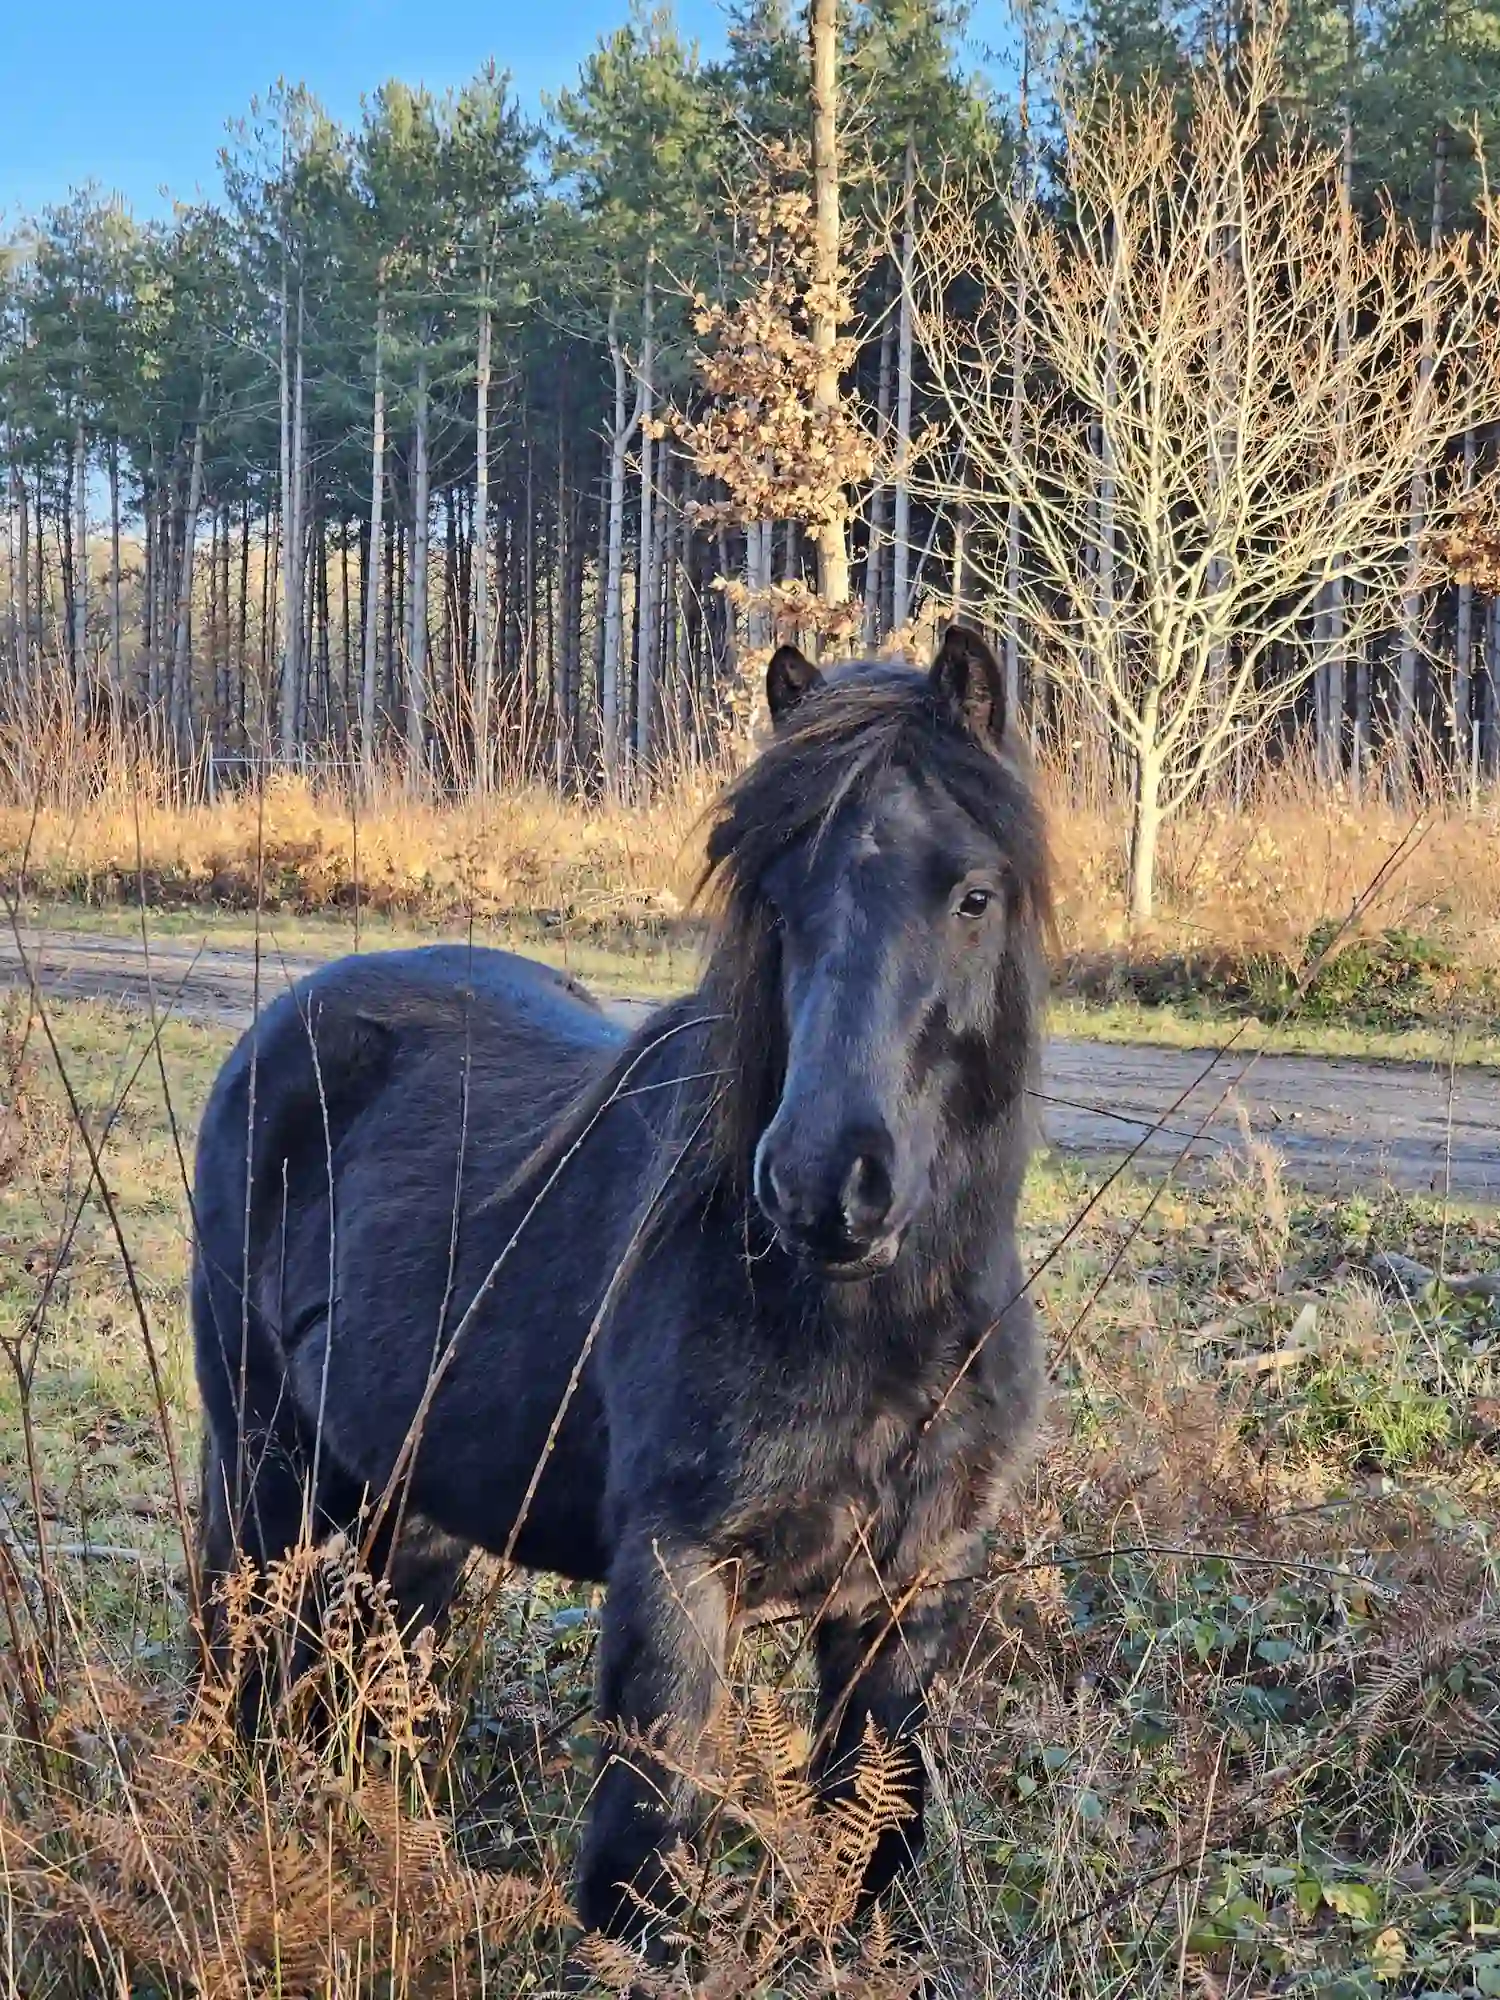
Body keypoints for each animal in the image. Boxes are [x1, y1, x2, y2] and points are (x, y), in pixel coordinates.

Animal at [190, 624, 1052, 1950]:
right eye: (776, 899)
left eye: (972, 893)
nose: (824, 1184)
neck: (878, 1332)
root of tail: (284, 1022)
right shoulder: (675, 1577)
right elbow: (637, 1864)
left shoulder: (910, 1599)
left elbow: (868, 1847)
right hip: (263, 1470)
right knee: (237, 1665)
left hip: (411, 1508)